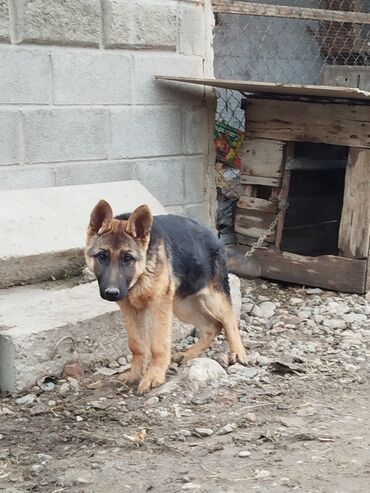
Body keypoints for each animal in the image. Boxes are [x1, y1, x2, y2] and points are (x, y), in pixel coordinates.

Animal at [86, 199, 249, 392]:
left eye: (127, 259)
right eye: (102, 256)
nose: (111, 293)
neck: (141, 275)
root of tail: (212, 234)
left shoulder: (159, 306)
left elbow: (158, 345)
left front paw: (154, 375)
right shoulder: (129, 308)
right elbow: (136, 344)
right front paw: (135, 373)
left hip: (213, 299)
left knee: (229, 320)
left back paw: (238, 352)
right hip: (183, 307)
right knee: (213, 325)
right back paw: (188, 354)